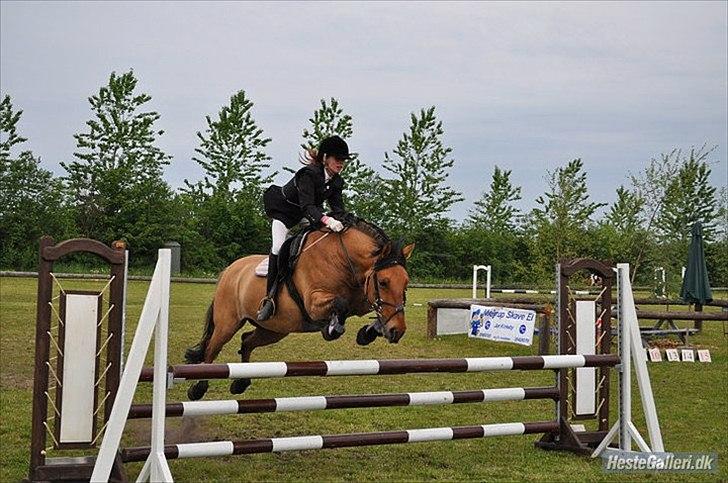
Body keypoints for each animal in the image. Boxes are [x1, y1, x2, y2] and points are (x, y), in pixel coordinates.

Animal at [185, 219, 412, 400]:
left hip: (274, 329)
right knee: (211, 349)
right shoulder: (313, 303)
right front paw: (332, 329)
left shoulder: (361, 296)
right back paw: (198, 388)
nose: (398, 331)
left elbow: (366, 308)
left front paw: (369, 332)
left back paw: (240, 383)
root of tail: (229, 270)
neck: (342, 258)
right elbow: (340, 304)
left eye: (406, 283)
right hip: (228, 323)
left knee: (247, 341)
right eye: (383, 282)